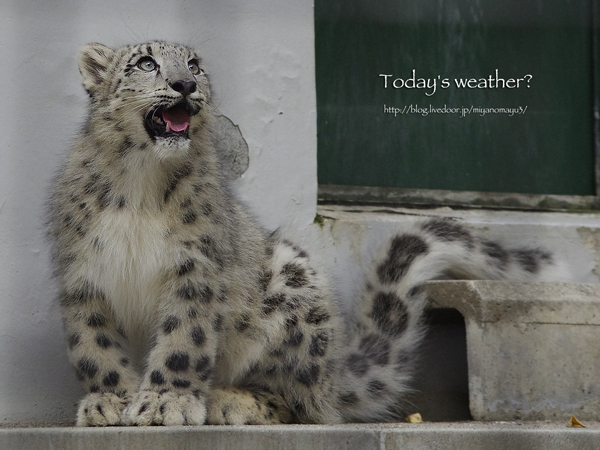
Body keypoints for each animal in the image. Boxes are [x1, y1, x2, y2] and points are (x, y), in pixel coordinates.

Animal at [48, 41, 564, 426]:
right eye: (146, 63)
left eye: (194, 65)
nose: (186, 84)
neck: (140, 183)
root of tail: (332, 374)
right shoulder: (80, 270)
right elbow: (93, 344)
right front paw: (110, 401)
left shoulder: (197, 266)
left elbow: (183, 340)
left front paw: (164, 402)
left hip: (291, 287)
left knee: (303, 404)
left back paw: (233, 400)